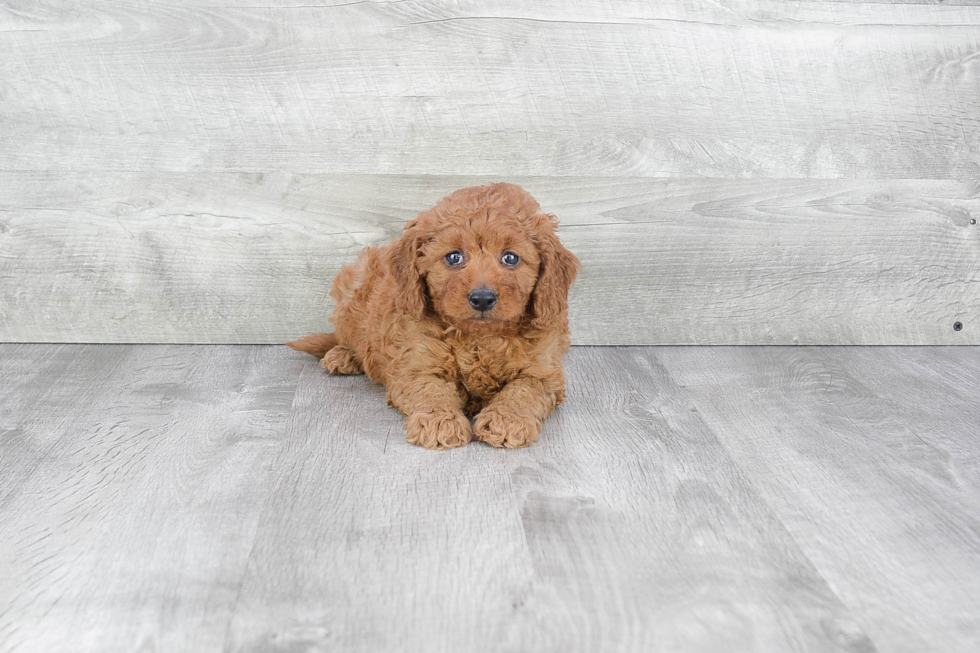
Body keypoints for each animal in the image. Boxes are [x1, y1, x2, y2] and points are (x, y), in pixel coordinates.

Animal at [290, 183, 580, 448]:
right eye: (454, 257)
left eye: (510, 258)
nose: (482, 298)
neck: (479, 339)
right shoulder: (414, 363)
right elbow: (429, 389)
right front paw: (440, 422)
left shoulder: (544, 370)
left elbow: (524, 390)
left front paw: (506, 420)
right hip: (352, 287)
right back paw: (344, 355)